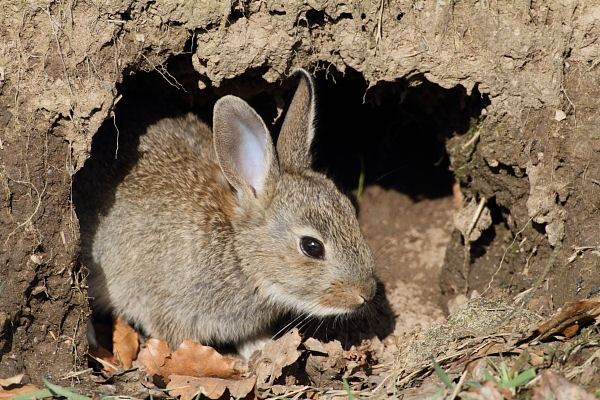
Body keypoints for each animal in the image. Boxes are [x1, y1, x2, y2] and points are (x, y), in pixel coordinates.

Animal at [79, 69, 378, 360]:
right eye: (312, 246)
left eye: (350, 210)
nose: (366, 293)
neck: (240, 254)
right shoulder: (169, 310)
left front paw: (261, 350)